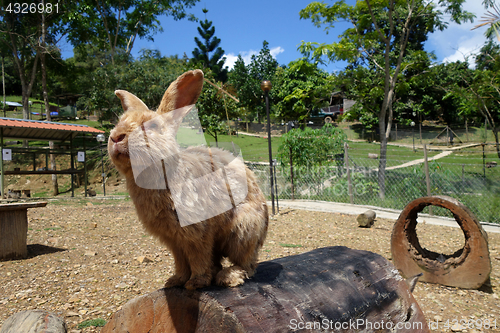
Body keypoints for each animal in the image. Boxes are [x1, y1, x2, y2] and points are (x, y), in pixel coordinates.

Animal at [107, 69, 268, 288]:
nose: (116, 137)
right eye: (118, 121)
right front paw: (175, 281)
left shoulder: (197, 232)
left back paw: (228, 277)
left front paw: (195, 283)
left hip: (243, 230)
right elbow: (181, 260)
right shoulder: (173, 240)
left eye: (153, 125)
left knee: (247, 263)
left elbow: (198, 256)